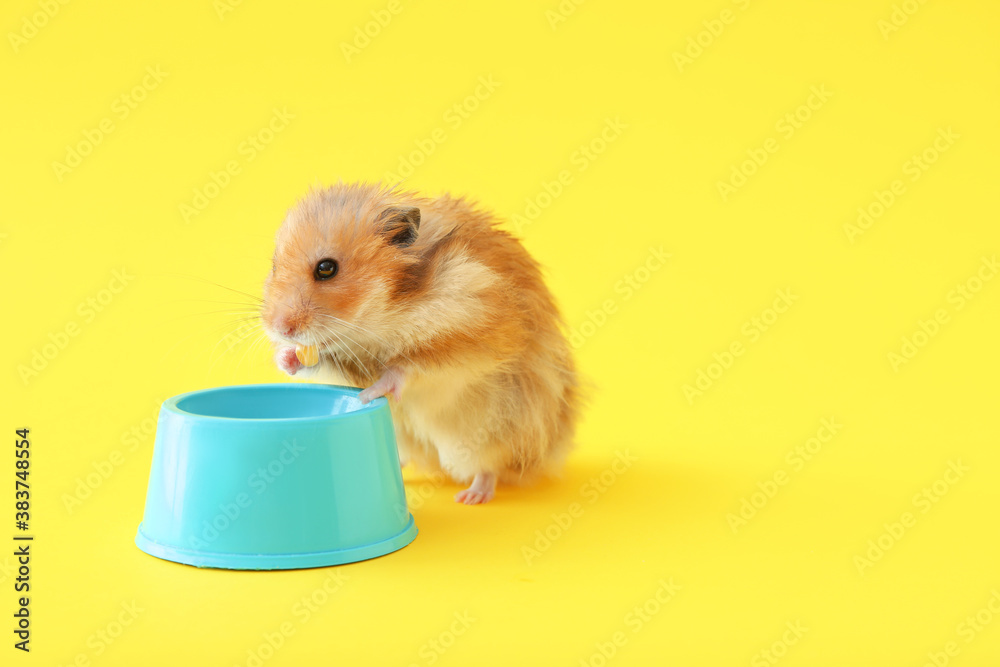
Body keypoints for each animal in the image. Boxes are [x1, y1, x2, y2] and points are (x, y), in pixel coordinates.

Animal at [262, 183, 584, 506]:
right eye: (274, 266)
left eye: (326, 268)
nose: (280, 328)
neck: (381, 316)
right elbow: (318, 360)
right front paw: (286, 358)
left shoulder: (470, 335)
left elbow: (409, 366)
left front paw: (369, 394)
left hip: (496, 432)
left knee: (490, 466)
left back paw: (472, 496)